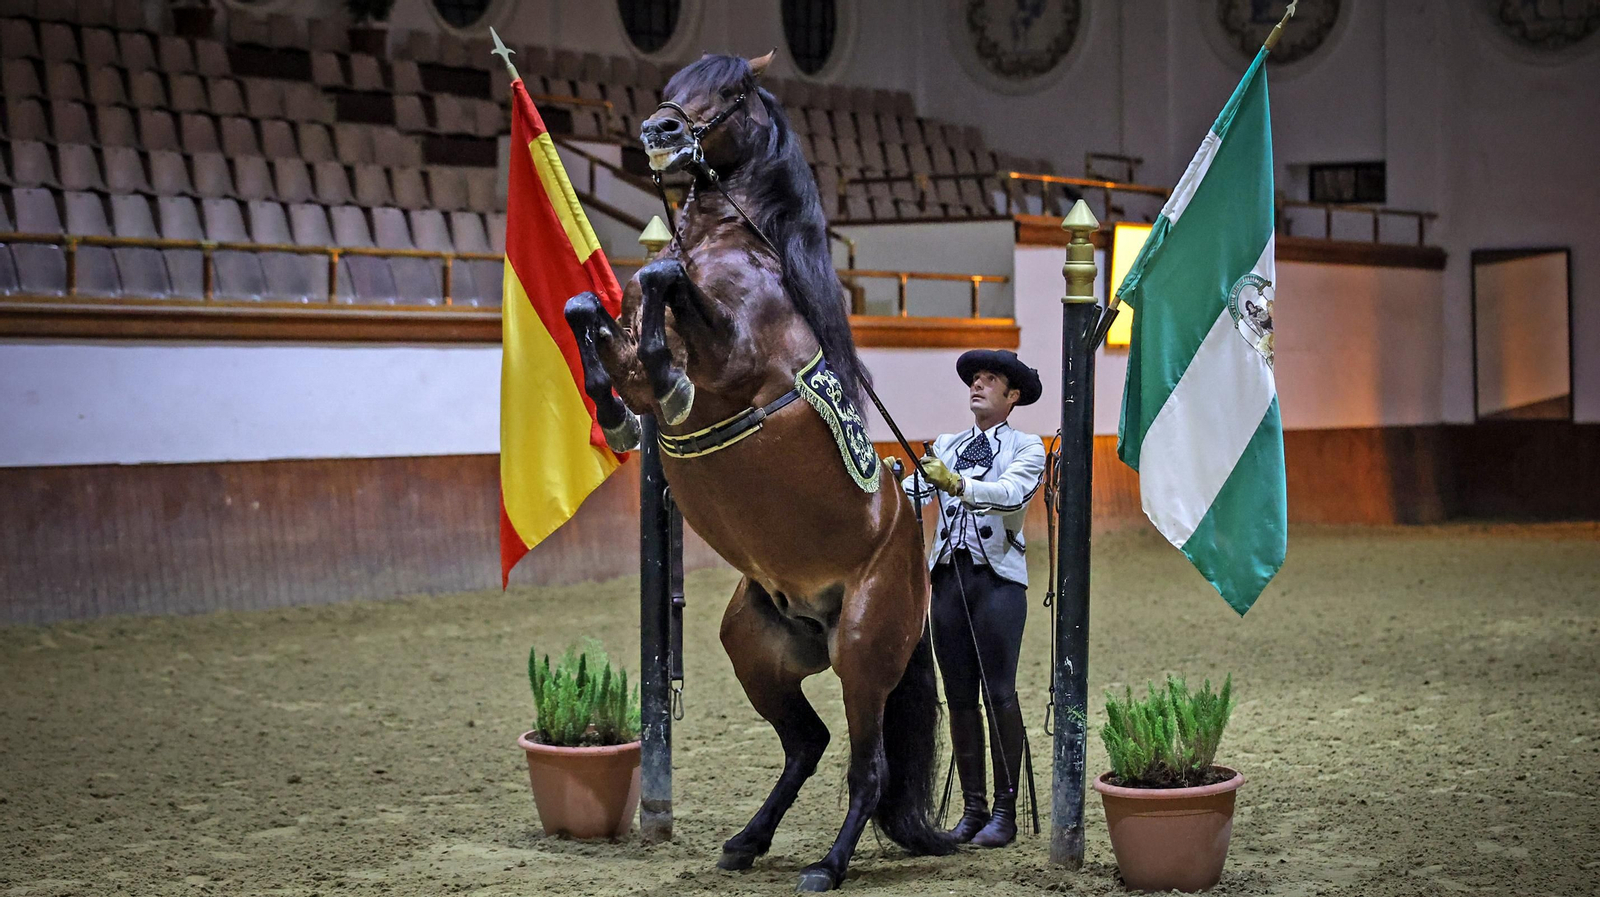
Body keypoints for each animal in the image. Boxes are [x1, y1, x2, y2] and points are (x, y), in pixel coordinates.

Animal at [563, 51, 955, 891]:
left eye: (733, 90)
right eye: (674, 84)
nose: (660, 130)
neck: (735, 251)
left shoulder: (734, 355)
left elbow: (662, 283)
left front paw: (666, 379)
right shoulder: (628, 335)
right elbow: (589, 306)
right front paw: (614, 414)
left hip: (863, 652)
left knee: (867, 768)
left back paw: (827, 865)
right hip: (756, 649)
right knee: (806, 743)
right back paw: (746, 839)